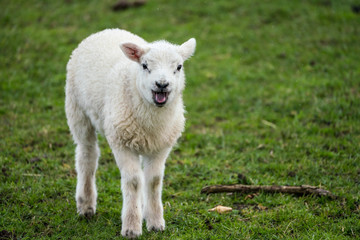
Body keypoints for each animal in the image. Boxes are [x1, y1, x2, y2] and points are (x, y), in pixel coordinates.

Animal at [63, 28, 195, 238]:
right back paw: (86, 205)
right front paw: (132, 227)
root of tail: (105, 31)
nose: (162, 84)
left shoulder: (160, 145)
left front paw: (155, 222)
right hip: (77, 109)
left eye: (179, 67)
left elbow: (154, 181)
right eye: (144, 65)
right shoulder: (121, 142)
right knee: (87, 154)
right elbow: (133, 181)